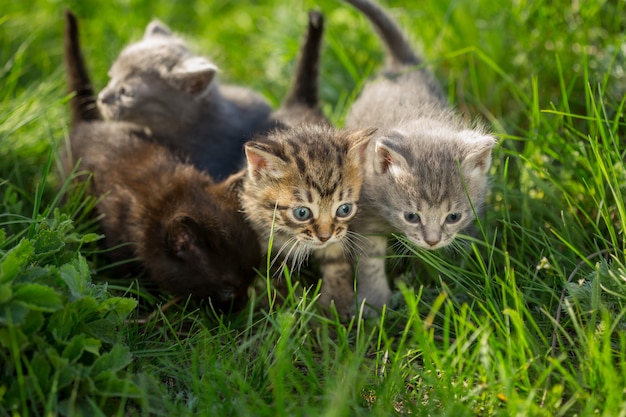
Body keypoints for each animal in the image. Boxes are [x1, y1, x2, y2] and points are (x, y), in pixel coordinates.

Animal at [338, 0, 494, 314]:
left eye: (453, 216)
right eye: (411, 216)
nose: (432, 241)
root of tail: (401, 67)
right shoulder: (365, 217)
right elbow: (370, 262)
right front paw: (374, 304)